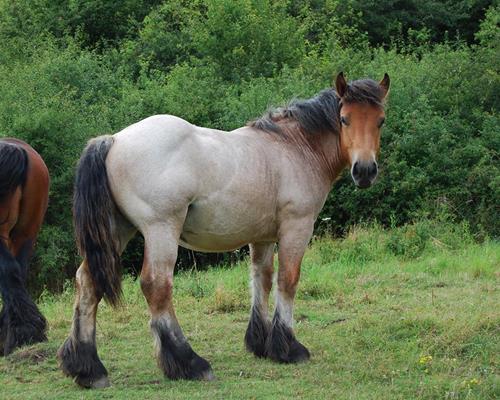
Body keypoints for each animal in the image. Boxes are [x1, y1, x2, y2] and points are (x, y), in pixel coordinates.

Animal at [58, 72, 390, 388]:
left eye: (380, 120)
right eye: (344, 119)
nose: (364, 171)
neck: (294, 147)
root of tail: (112, 140)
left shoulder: (262, 237)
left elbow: (261, 280)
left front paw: (261, 344)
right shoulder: (297, 227)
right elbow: (288, 280)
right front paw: (288, 347)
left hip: (117, 231)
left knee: (87, 283)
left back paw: (88, 369)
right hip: (160, 230)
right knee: (157, 286)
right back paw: (189, 363)